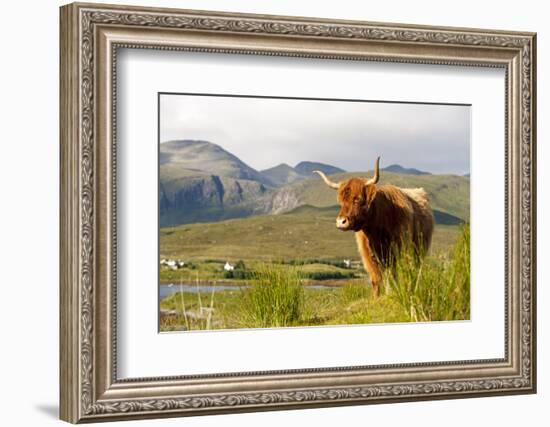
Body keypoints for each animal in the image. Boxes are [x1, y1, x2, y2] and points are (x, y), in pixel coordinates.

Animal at [314, 157, 436, 298]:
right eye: (341, 201)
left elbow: (393, 276)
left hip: (419, 250)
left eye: (358, 199)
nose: (341, 222)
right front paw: (376, 298)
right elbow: (376, 279)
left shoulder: (397, 251)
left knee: (415, 270)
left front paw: (391, 294)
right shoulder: (368, 255)